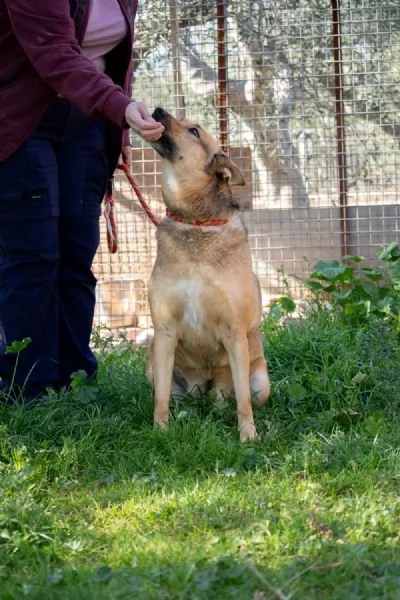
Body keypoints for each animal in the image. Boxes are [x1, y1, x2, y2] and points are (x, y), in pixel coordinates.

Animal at [145, 106, 270, 440]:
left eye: (194, 131)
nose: (158, 109)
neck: (196, 223)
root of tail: (207, 385)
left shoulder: (234, 332)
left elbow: (243, 401)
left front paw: (248, 436)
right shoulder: (164, 331)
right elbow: (161, 399)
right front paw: (160, 432)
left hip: (261, 380)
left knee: (235, 397)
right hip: (151, 359)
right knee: (172, 395)